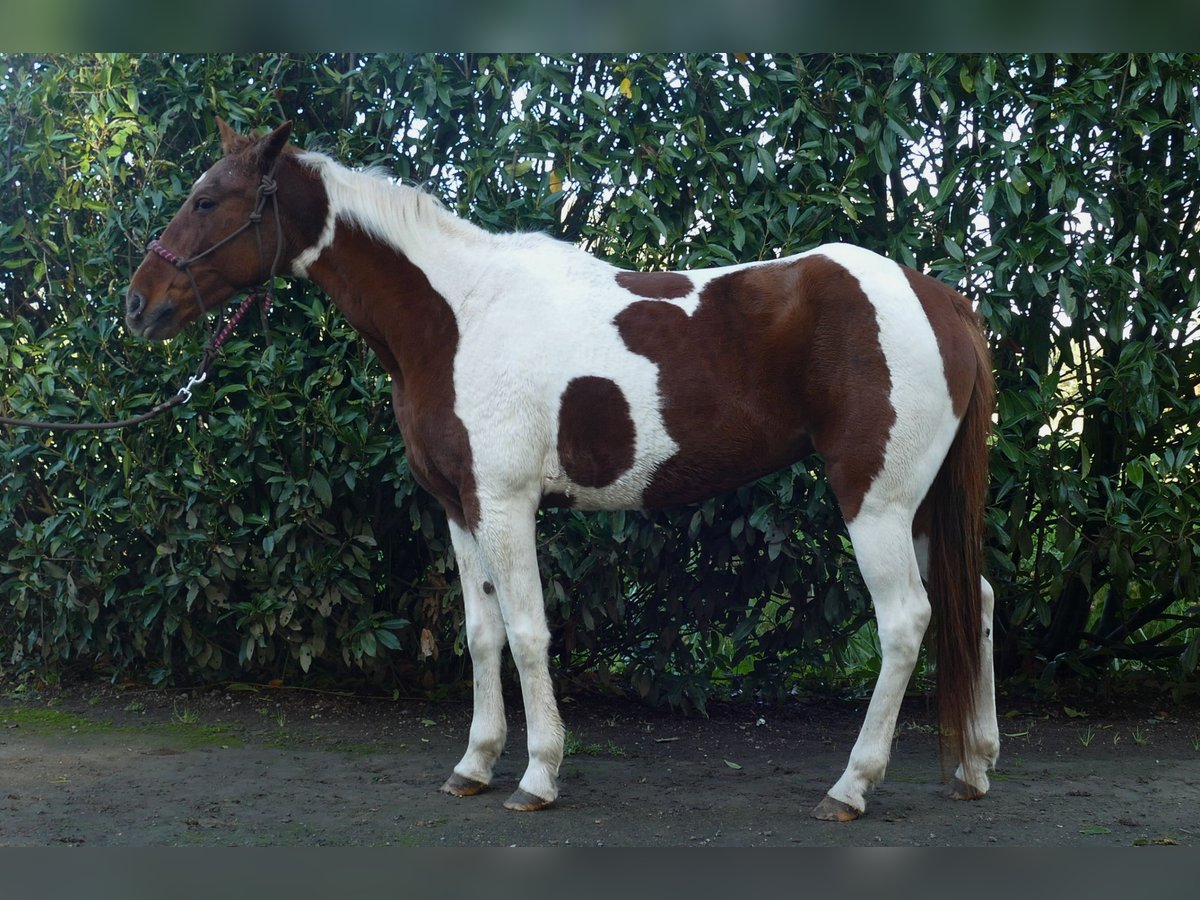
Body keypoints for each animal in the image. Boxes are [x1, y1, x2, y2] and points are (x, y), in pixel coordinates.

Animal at [126, 120, 998, 825]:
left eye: (208, 200)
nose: (138, 305)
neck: (457, 317)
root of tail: (942, 300)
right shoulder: (460, 506)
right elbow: (480, 634)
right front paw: (474, 765)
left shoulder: (506, 503)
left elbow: (527, 632)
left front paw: (537, 775)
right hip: (920, 506)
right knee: (976, 601)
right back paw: (975, 766)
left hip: (875, 501)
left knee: (906, 622)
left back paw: (851, 786)